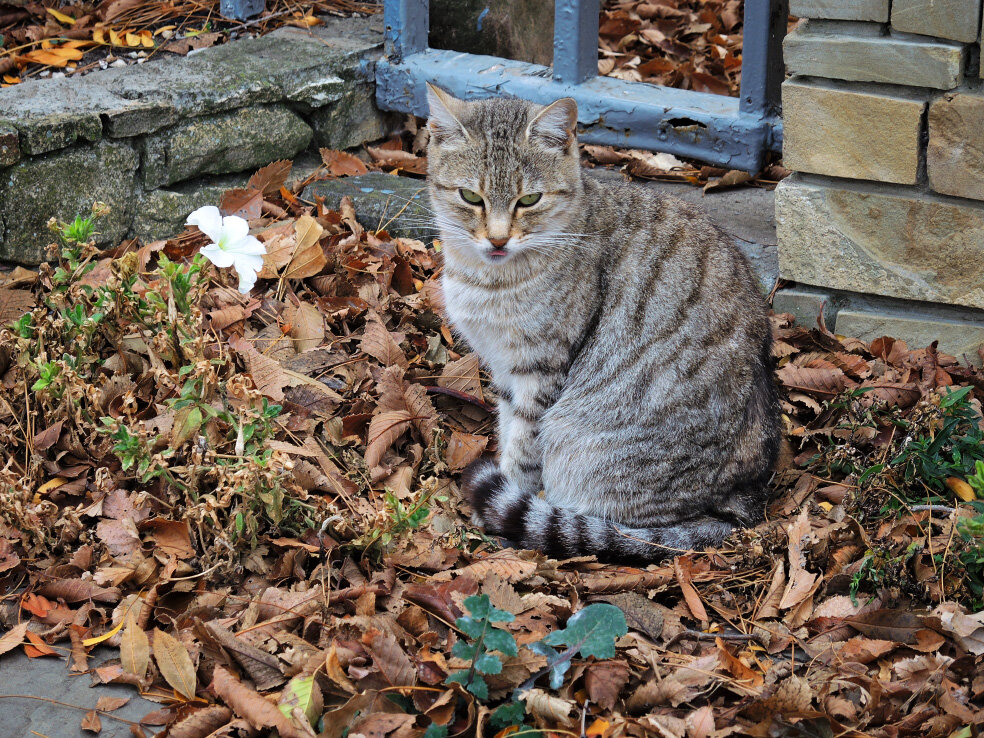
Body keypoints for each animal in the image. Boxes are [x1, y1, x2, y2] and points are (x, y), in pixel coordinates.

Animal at [426, 83, 780, 560]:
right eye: (471, 197)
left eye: (529, 200)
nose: (498, 239)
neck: (485, 277)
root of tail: (742, 503)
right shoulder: (502, 367)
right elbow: (507, 426)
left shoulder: (542, 368)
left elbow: (523, 447)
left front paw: (506, 496)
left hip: (582, 442)